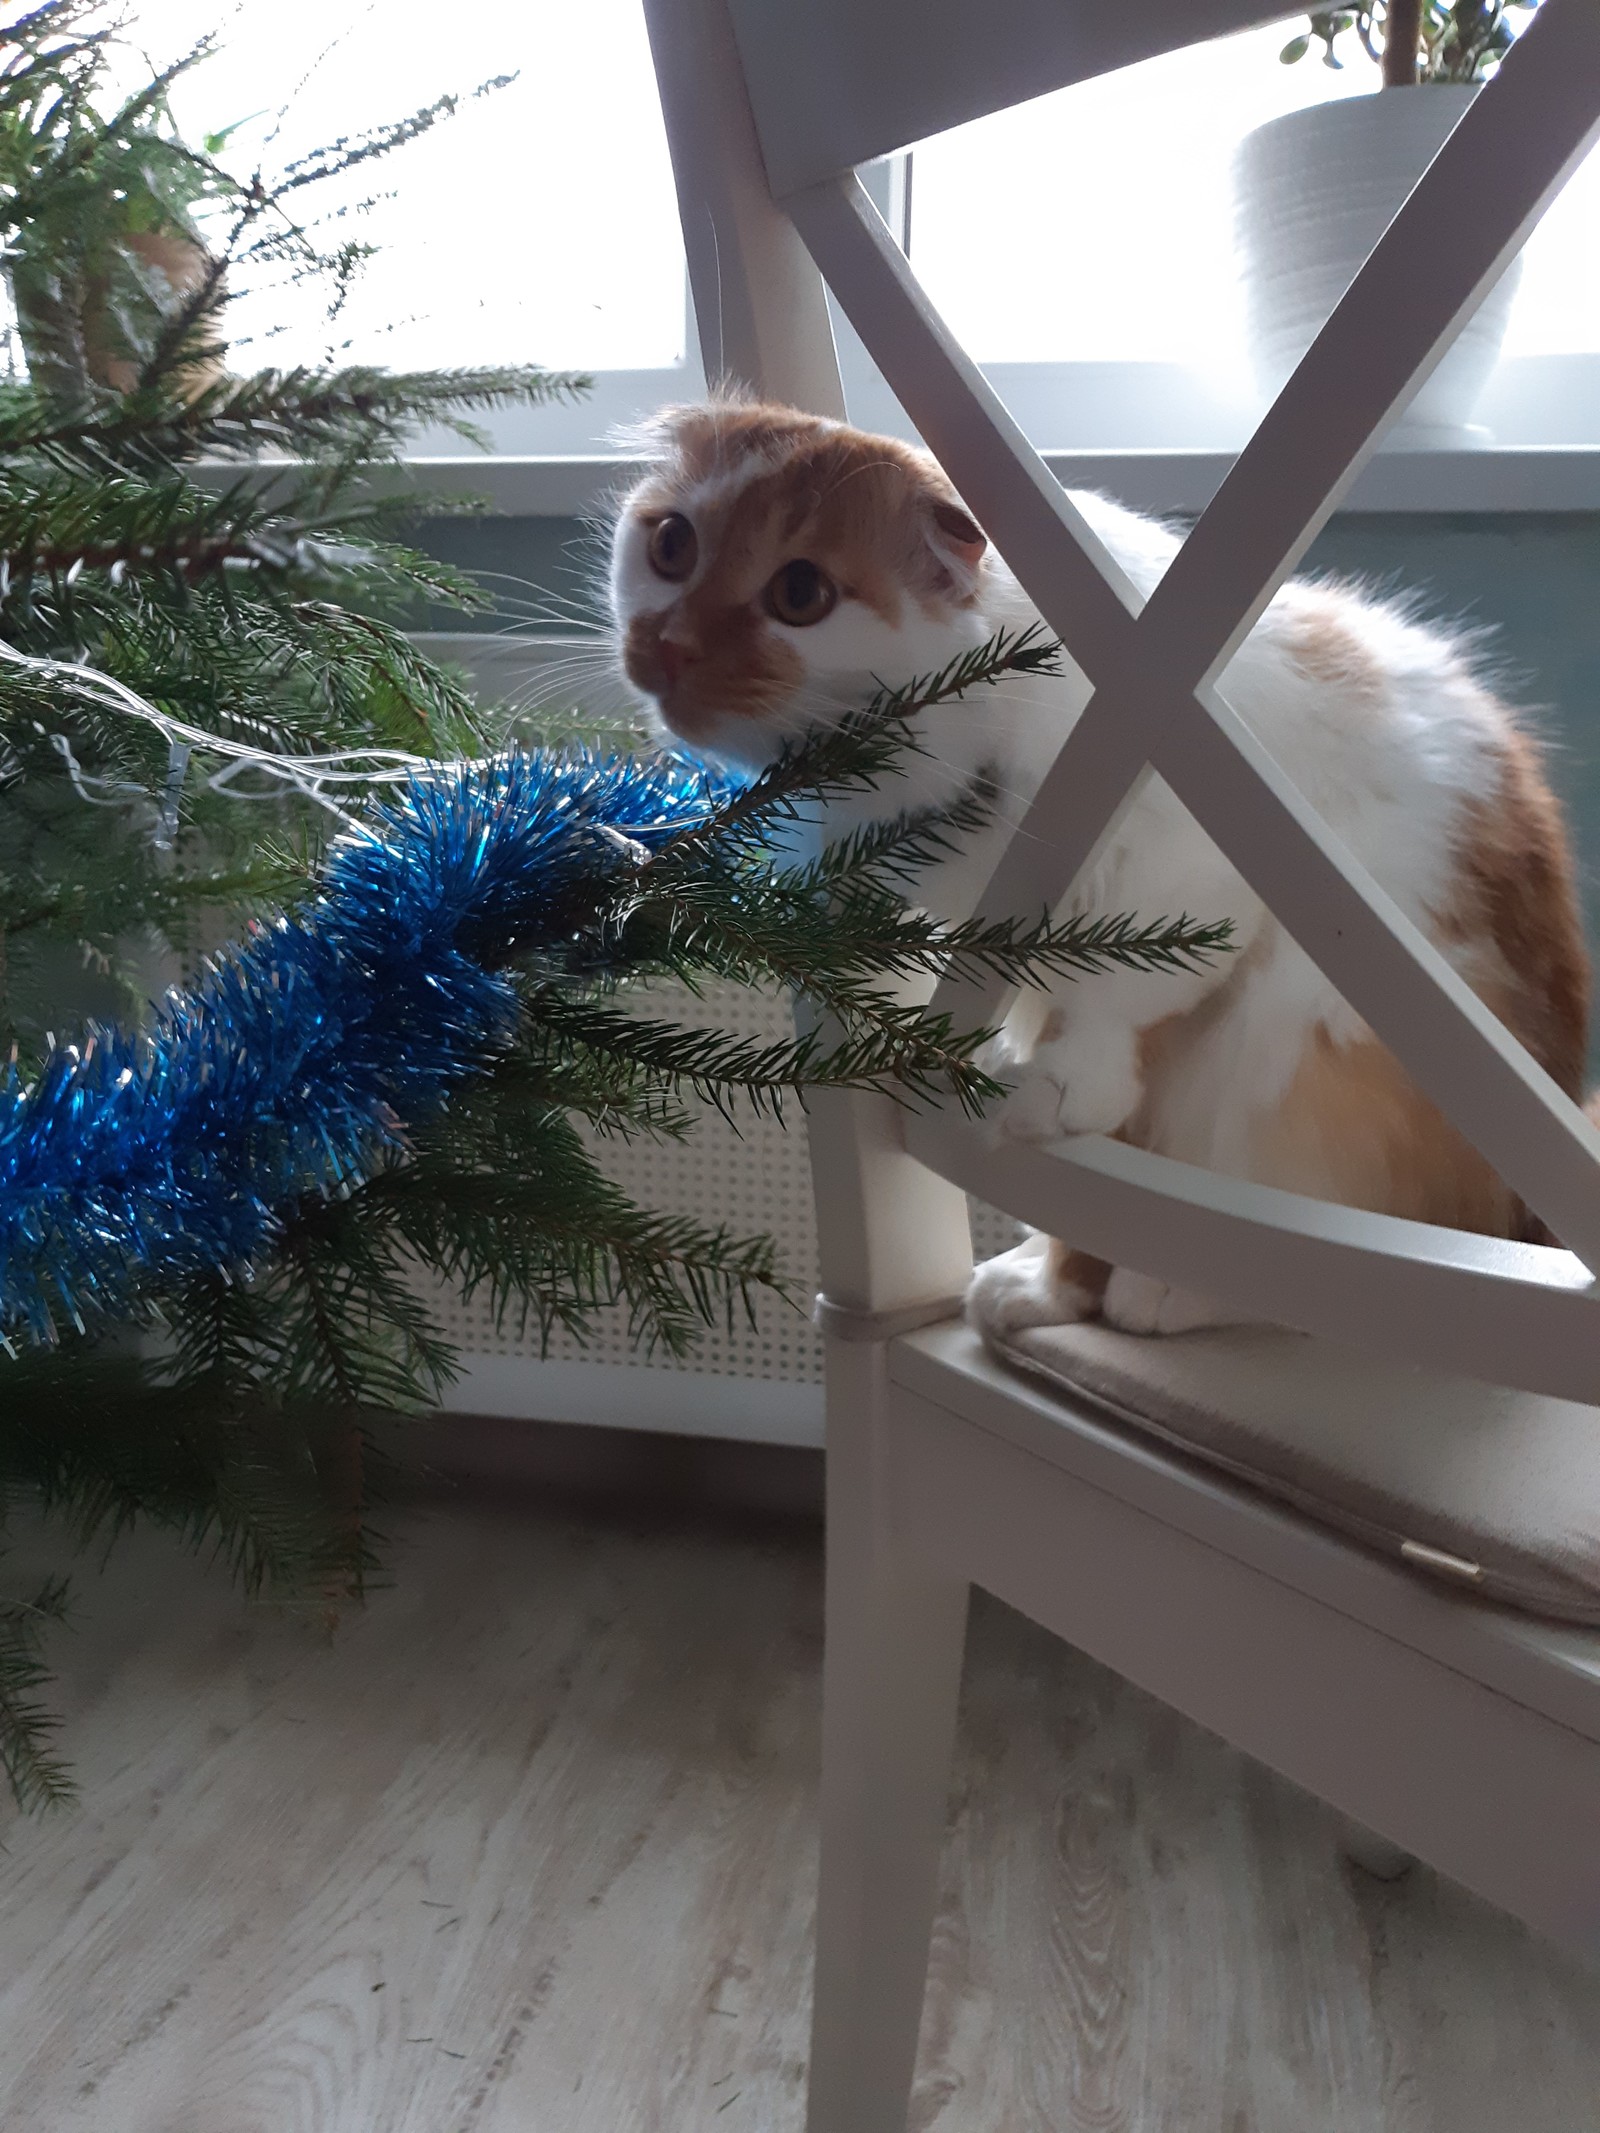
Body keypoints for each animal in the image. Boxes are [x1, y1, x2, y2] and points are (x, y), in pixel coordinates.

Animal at [605, 396, 1595, 1330]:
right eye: (672, 545)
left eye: (800, 592)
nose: (666, 646)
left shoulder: (1188, 870)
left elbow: (1116, 998)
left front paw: (1063, 1082)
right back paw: (1042, 1289)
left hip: (1288, 1045)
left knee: (1301, 1259)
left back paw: (1162, 1291)